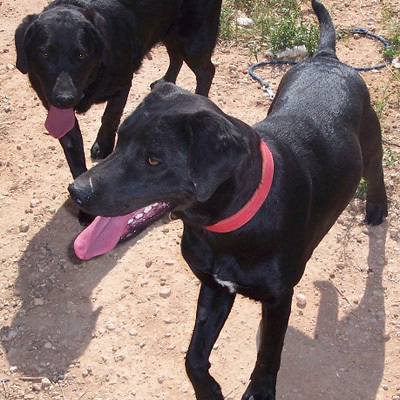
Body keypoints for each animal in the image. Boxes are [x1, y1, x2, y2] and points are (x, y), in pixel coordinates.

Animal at [15, 0, 222, 224]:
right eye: (44, 54)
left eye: (81, 55)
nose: (64, 99)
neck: (91, 78)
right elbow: (75, 159)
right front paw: (85, 208)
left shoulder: (122, 86)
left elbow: (110, 117)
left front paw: (104, 145)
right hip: (168, 31)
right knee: (175, 55)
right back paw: (167, 82)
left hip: (193, 41)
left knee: (206, 71)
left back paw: (199, 98)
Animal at [68, 1, 388, 398]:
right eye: (121, 137)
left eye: (154, 160)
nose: (77, 191)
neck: (228, 226)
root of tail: (327, 58)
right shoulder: (214, 287)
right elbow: (192, 357)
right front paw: (209, 389)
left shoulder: (278, 299)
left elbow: (269, 353)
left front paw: (260, 389)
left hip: (370, 139)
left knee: (376, 170)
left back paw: (377, 206)